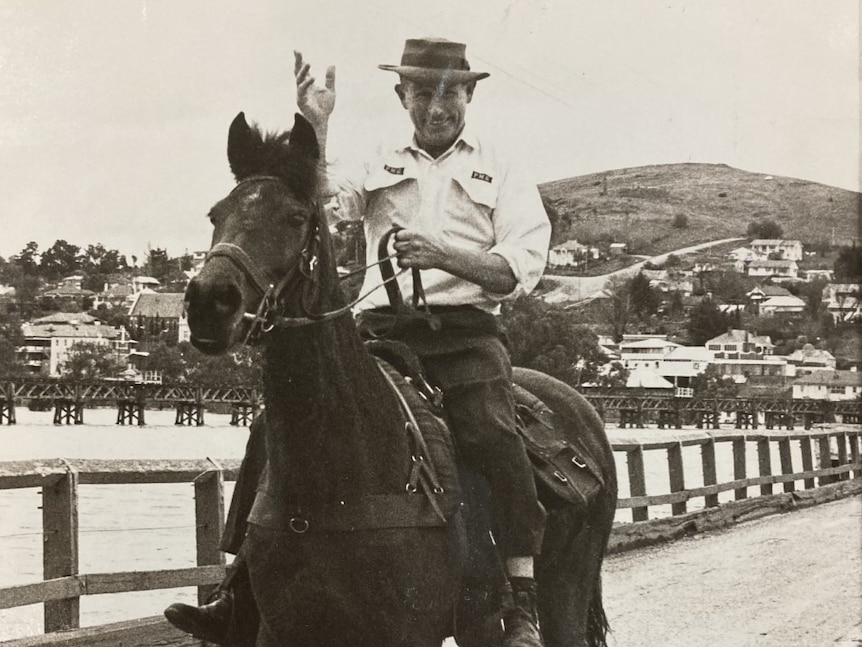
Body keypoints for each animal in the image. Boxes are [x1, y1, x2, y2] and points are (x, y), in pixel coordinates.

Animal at [186, 112, 616, 647]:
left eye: (295, 218)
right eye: (215, 214)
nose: (209, 301)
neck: (338, 478)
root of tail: (584, 413)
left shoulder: (405, 632)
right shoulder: (282, 629)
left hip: (563, 592)